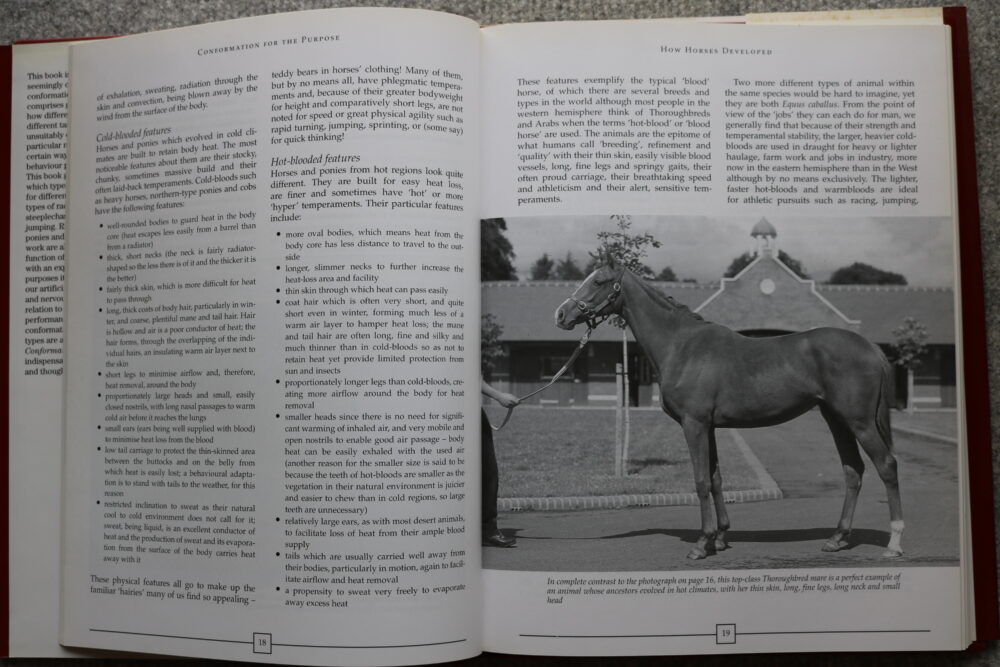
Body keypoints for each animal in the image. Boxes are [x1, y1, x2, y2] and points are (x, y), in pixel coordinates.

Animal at [554, 258, 902, 560]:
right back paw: (837, 538)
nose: (561, 314)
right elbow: (716, 478)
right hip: (836, 420)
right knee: (853, 471)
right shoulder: (708, 426)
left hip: (859, 422)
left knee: (886, 465)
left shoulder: (693, 424)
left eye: (598, 281)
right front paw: (720, 538)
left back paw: (894, 542)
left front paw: (701, 544)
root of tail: (871, 347)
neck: (681, 345)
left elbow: (700, 481)